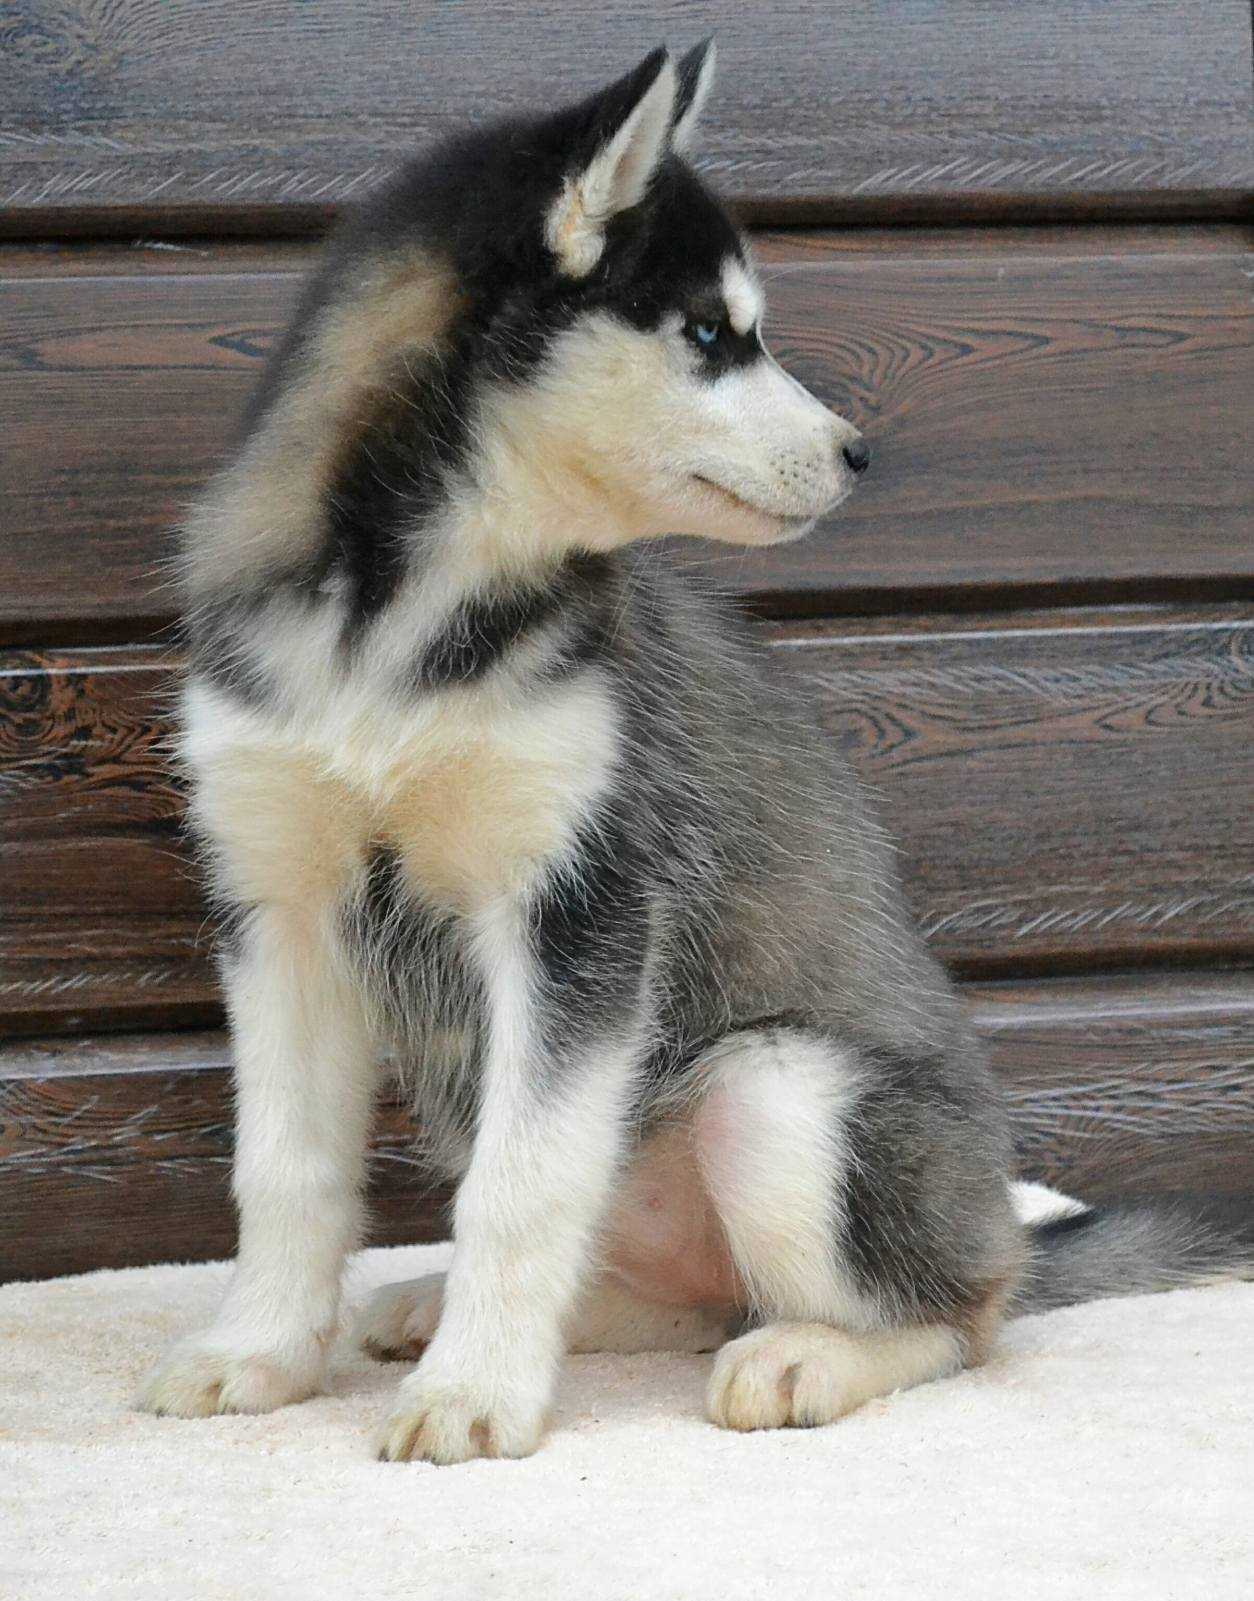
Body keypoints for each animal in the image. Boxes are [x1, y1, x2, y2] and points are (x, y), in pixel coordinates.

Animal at [140, 40, 1254, 1466]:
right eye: (713, 335)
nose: (857, 453)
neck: (401, 618)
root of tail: (1006, 1228)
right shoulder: (276, 910)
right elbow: (285, 1168)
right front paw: (259, 1353)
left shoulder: (578, 912)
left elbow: (519, 1184)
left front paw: (473, 1392)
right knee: (666, 1290)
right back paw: (450, 1303)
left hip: (779, 1091)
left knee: (959, 1321)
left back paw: (807, 1356)